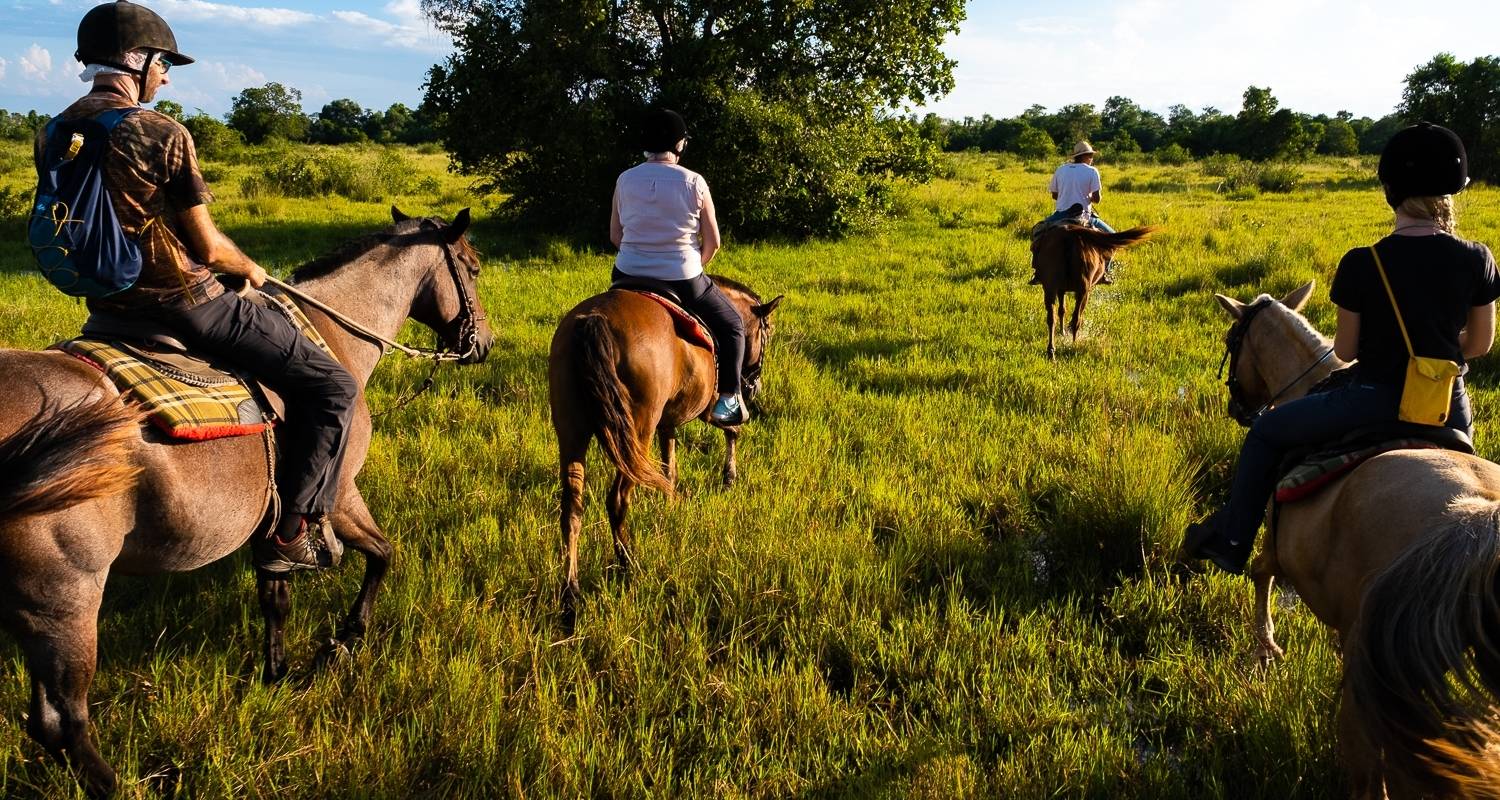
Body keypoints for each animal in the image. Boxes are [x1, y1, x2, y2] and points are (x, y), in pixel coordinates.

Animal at [0, 205, 498, 792]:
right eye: (472, 267)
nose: (484, 343)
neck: (335, 336)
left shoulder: (274, 522)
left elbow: (275, 597)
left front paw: (277, 673)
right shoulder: (337, 496)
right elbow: (382, 555)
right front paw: (346, 640)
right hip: (65, 603)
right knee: (63, 722)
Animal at [552, 277, 786, 621]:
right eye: (766, 332)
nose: (753, 386)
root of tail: (593, 320)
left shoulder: (667, 421)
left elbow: (669, 466)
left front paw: (671, 504)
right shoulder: (708, 407)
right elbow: (733, 428)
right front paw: (729, 477)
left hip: (571, 432)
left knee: (572, 508)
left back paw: (571, 593)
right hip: (637, 432)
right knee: (617, 500)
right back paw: (628, 565)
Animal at [1032, 223, 1158, 357]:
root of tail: (1068, 234)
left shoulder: (1061, 289)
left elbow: (1062, 310)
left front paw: (1062, 332)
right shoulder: (1084, 290)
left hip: (1050, 288)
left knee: (1052, 318)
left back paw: (1051, 351)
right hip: (1083, 290)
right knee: (1076, 319)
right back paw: (1073, 345)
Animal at [1212, 279, 1500, 792]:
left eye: (1232, 340)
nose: (1238, 407)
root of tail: (1476, 524)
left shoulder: (1274, 536)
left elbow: (1260, 573)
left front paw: (1266, 647)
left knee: (1370, 768)